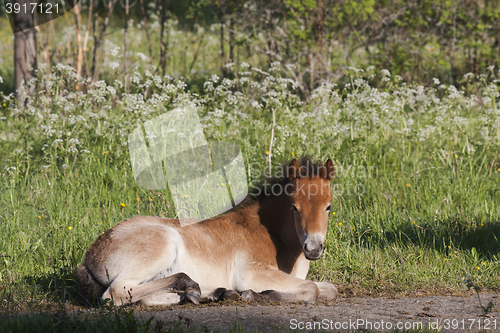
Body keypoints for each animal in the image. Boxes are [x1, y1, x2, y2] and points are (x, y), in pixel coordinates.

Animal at [75, 157, 340, 304]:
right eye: (294, 206)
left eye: (328, 206)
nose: (313, 248)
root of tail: (90, 255)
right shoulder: (251, 273)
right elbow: (312, 289)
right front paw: (254, 295)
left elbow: (329, 289)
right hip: (162, 246)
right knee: (117, 294)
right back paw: (193, 286)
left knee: (145, 298)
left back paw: (209, 293)